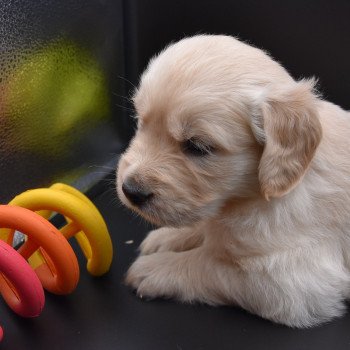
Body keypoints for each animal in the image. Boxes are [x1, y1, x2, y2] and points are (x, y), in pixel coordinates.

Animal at [116, 35, 350, 328]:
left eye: (198, 147)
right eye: (140, 122)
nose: (130, 190)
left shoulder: (292, 283)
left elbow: (208, 265)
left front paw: (155, 267)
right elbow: (205, 227)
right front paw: (168, 236)